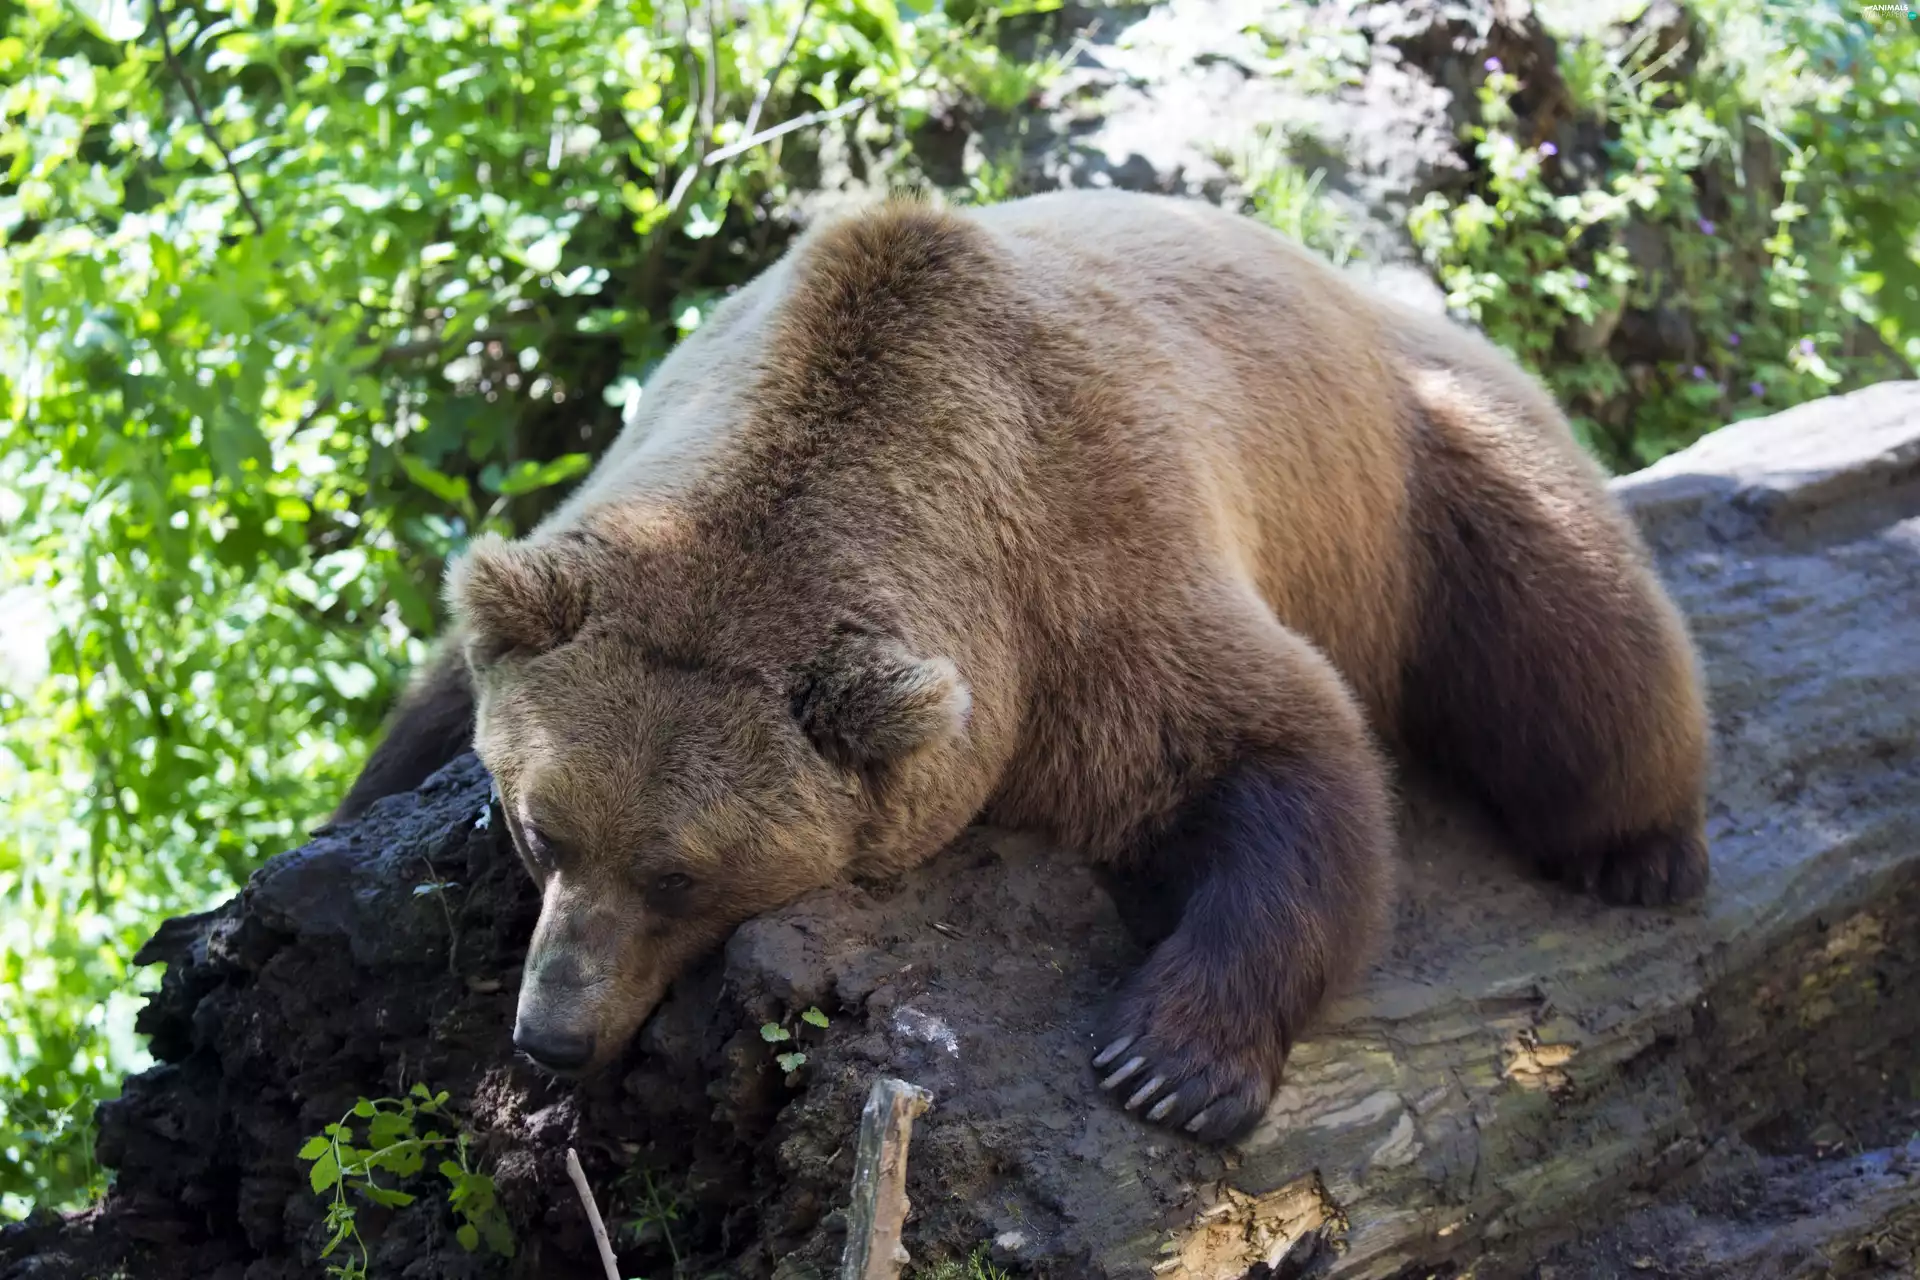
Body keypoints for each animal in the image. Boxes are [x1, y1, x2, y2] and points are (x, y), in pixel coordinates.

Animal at [334, 188, 1710, 1144]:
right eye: (539, 829)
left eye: (682, 872)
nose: (553, 1034)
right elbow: (425, 715)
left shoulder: (1088, 581)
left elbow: (1282, 749)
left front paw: (1171, 1063)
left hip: (1427, 476)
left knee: (1579, 651)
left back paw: (1642, 852)